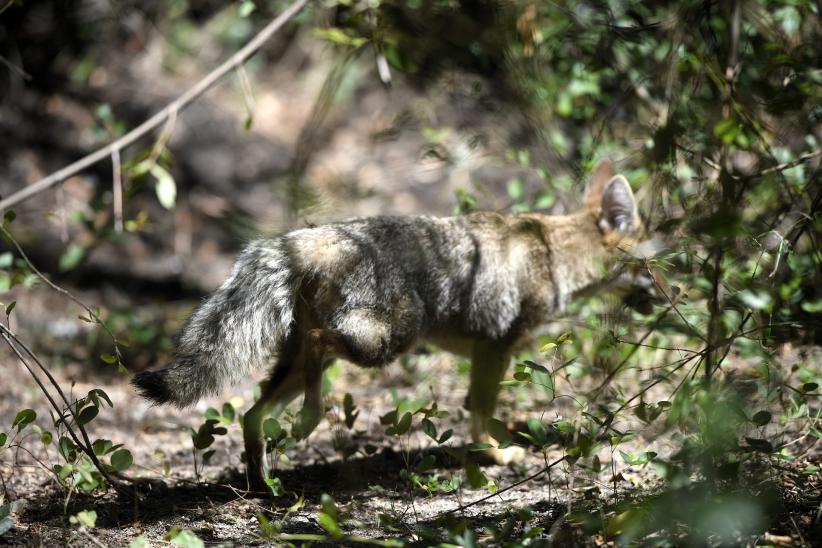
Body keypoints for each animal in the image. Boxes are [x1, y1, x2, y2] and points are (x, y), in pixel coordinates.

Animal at [132, 161, 652, 490]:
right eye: (655, 265)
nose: (670, 293)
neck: (551, 251)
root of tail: (313, 238)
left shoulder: (487, 354)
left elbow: (476, 409)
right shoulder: (494, 348)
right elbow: (482, 414)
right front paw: (496, 456)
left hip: (314, 357)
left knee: (252, 414)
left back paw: (265, 483)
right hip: (387, 342)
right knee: (317, 351)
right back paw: (309, 419)